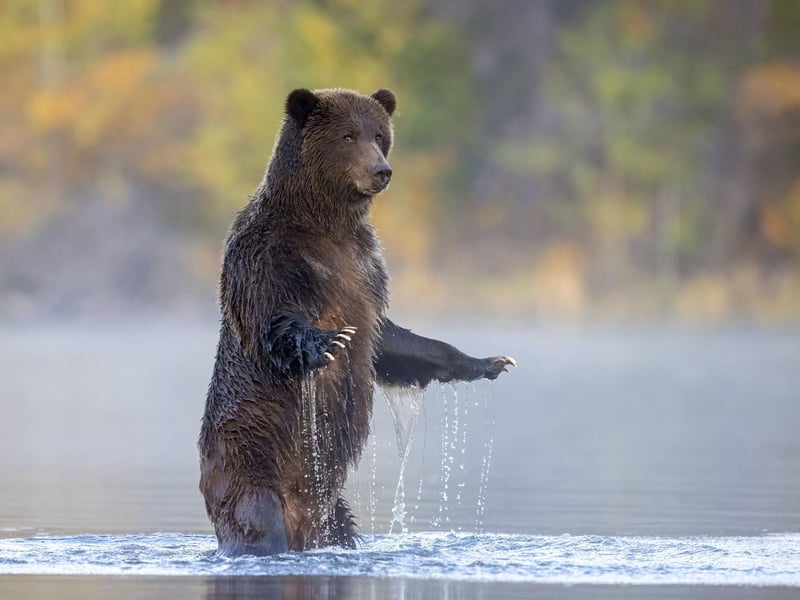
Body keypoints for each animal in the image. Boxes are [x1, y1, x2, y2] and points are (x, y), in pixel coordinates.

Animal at [198, 87, 516, 557]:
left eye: (379, 134)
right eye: (348, 135)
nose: (381, 171)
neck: (325, 223)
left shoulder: (366, 272)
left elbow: (391, 341)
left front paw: (490, 362)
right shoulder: (268, 257)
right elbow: (273, 322)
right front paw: (329, 342)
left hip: (332, 508)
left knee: (341, 528)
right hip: (249, 459)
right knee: (256, 519)